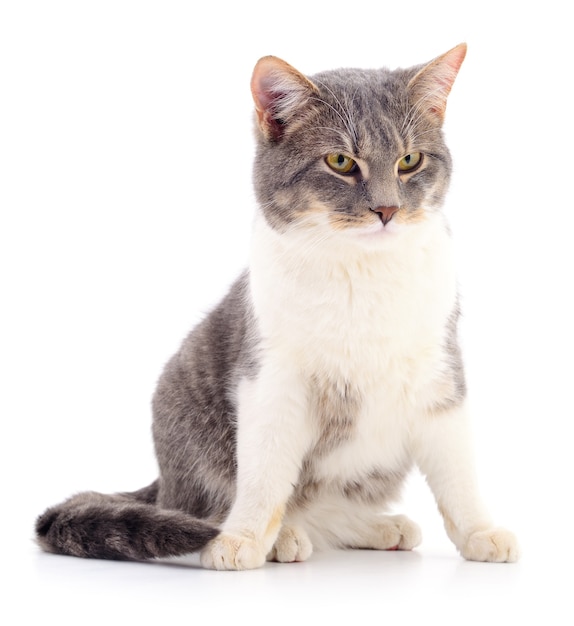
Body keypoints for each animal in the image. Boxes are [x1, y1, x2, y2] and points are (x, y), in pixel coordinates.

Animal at [36, 44, 520, 568]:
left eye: (409, 160)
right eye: (340, 161)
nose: (388, 210)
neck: (363, 276)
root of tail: (163, 484)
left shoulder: (439, 373)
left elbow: (457, 472)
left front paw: (480, 531)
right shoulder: (271, 378)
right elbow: (264, 473)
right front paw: (244, 537)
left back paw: (375, 526)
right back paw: (283, 535)